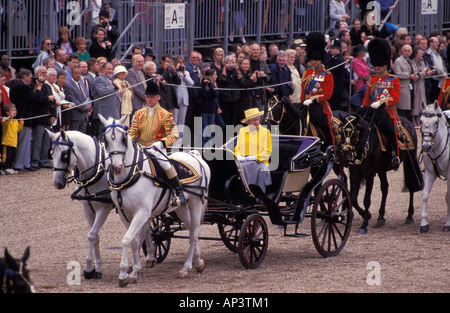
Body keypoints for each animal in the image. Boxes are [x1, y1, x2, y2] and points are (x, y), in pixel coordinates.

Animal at [46, 129, 158, 278]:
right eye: (52, 153)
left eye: (64, 155)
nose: (57, 183)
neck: (96, 170)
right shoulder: (87, 208)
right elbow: (95, 236)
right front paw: (97, 267)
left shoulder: (103, 209)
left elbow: (92, 235)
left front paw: (89, 268)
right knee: (145, 227)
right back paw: (150, 255)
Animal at [99, 114, 211, 286]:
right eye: (105, 139)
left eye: (123, 138)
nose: (117, 167)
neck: (132, 174)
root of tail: (195, 155)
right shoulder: (125, 214)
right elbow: (134, 241)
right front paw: (134, 271)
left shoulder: (143, 213)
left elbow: (127, 239)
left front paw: (123, 274)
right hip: (181, 207)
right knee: (192, 229)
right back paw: (198, 262)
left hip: (196, 202)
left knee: (194, 232)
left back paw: (186, 267)